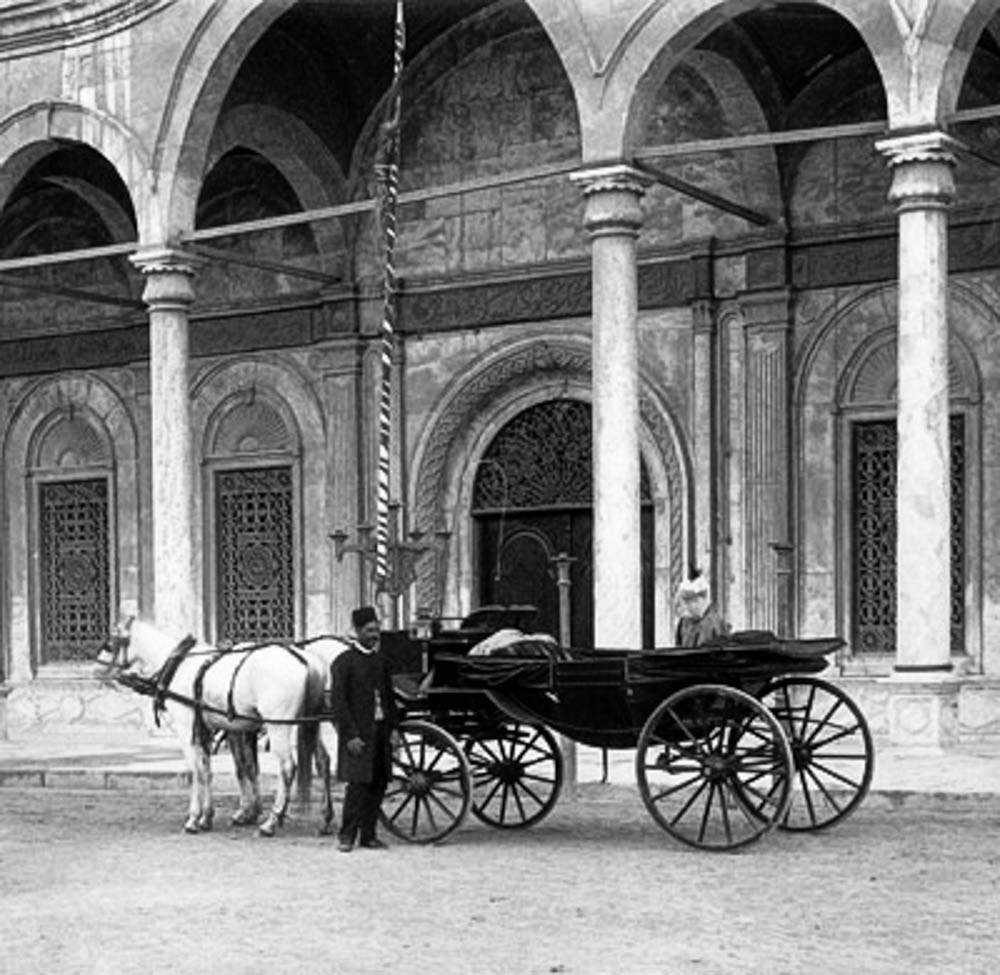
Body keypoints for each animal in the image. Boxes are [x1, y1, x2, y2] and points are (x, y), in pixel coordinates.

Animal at [97, 620, 346, 836]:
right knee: (321, 761)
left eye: (110, 642)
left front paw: (194, 818)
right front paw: (208, 817)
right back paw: (324, 819)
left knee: (287, 767)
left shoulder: (187, 729)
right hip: (308, 723)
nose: (96, 669)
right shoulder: (205, 730)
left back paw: (272, 821)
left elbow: (196, 771)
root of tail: (306, 660)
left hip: (279, 726)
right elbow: (209, 770)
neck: (179, 664)